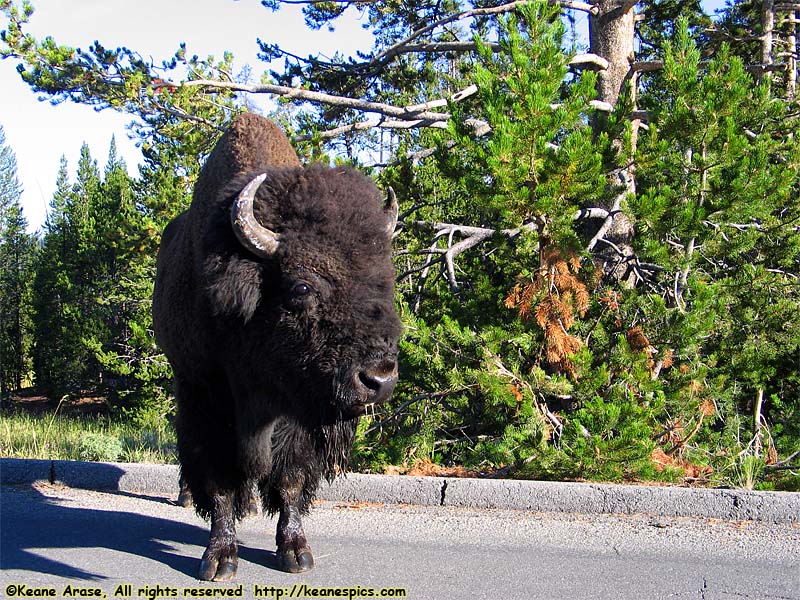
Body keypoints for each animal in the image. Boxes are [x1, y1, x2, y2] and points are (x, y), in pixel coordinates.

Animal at [152, 112, 400, 580]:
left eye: (384, 282)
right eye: (302, 286)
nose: (377, 380)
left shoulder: (297, 409)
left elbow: (290, 478)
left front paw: (295, 552)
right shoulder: (206, 393)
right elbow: (220, 479)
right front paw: (219, 559)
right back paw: (188, 496)